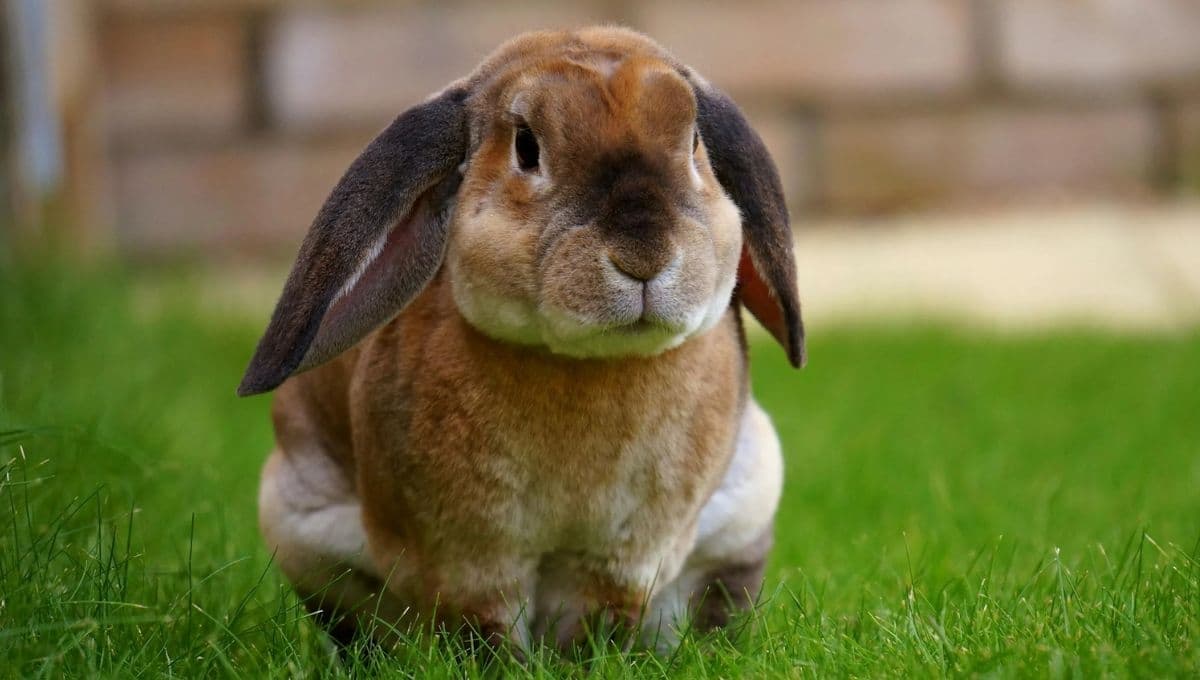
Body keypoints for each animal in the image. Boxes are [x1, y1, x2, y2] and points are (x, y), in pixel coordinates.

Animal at [240, 26, 804, 653]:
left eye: (694, 143)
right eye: (527, 148)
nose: (644, 256)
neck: (585, 365)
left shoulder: (621, 559)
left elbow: (597, 621)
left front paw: (587, 660)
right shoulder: (469, 560)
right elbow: (485, 628)